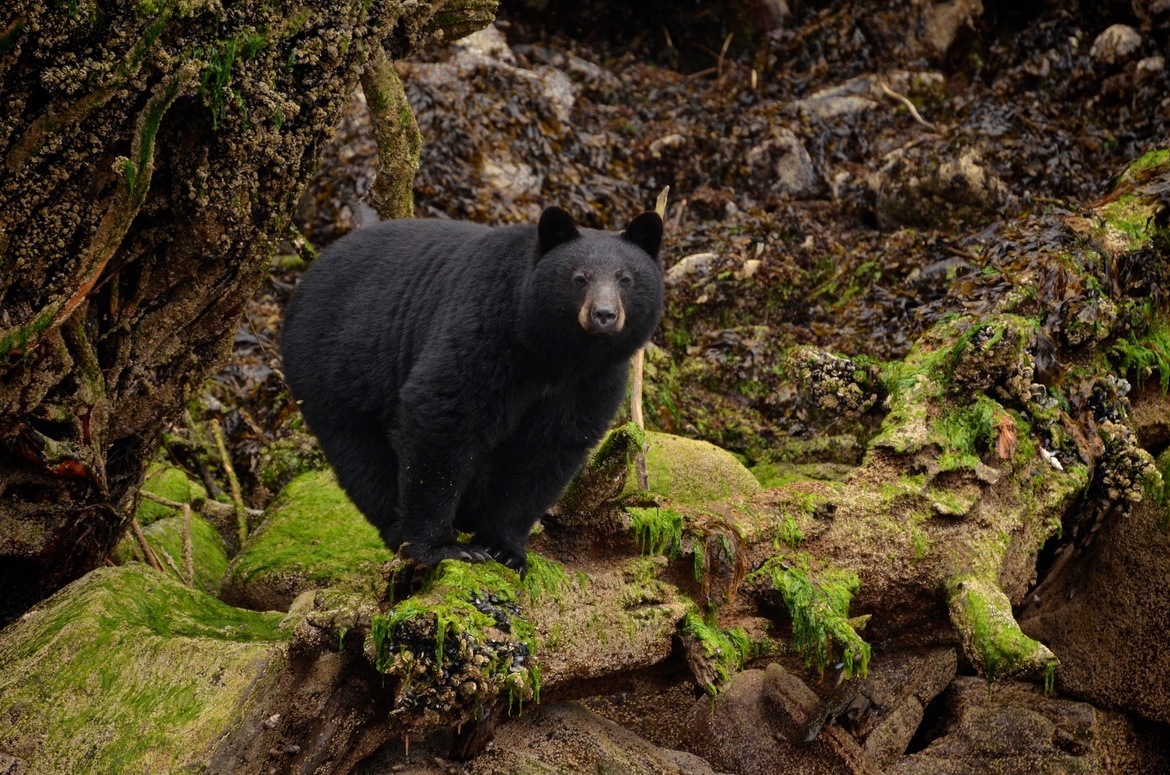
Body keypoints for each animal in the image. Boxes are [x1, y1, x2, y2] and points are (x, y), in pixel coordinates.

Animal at [281, 206, 664, 576]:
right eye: (579, 278)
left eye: (626, 279)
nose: (604, 314)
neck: (557, 355)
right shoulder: (485, 330)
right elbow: (443, 412)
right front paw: (441, 547)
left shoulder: (591, 381)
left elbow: (549, 447)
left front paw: (504, 548)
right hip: (332, 368)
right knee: (362, 459)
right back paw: (398, 531)